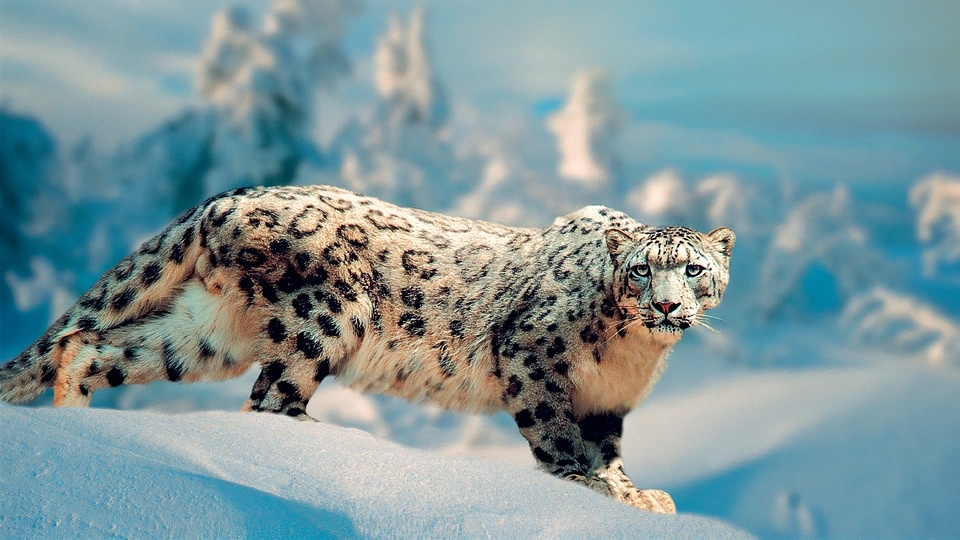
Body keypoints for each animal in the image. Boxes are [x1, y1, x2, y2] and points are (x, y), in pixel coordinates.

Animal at [0, 184, 735, 513]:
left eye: (693, 269)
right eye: (640, 272)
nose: (666, 306)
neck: (632, 355)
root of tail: (224, 199)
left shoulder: (608, 405)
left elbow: (608, 451)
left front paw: (636, 494)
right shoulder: (532, 356)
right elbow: (557, 439)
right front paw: (592, 489)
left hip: (205, 332)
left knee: (89, 345)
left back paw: (75, 418)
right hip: (327, 317)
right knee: (269, 399)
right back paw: (331, 443)